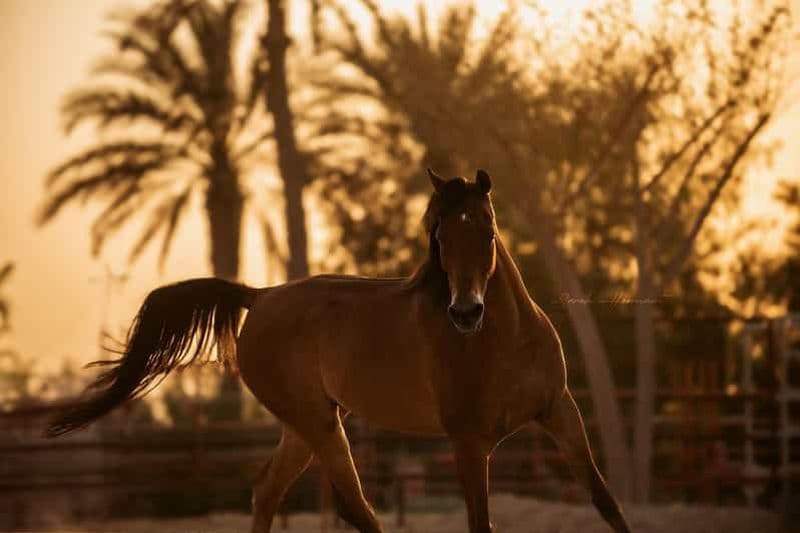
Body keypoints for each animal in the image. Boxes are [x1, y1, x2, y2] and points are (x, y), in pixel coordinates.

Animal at [47, 169, 631, 533]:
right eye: (440, 238)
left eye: (486, 233)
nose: (465, 312)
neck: (500, 341)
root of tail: (260, 296)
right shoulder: (469, 443)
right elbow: (479, 523)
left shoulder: (560, 411)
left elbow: (605, 499)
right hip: (319, 424)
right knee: (356, 508)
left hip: (308, 423)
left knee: (268, 490)